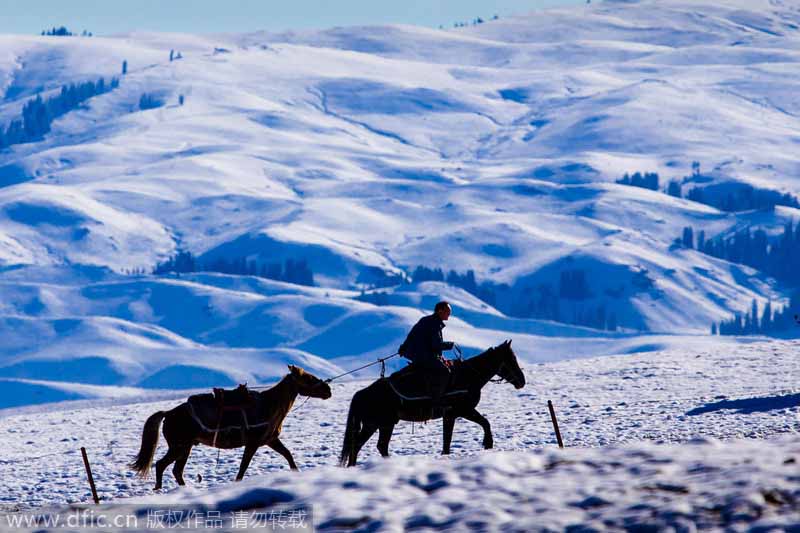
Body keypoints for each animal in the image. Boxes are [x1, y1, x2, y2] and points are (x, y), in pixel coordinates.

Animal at [131, 364, 332, 488]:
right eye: (308, 378)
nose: (328, 390)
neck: (269, 405)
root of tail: (168, 414)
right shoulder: (253, 443)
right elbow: (243, 467)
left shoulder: (271, 440)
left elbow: (288, 455)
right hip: (179, 447)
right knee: (162, 465)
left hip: (185, 448)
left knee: (175, 470)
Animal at [340, 340, 520, 466]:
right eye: (511, 359)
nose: (522, 381)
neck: (467, 376)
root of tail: (362, 393)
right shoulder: (463, 410)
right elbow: (485, 423)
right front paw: (488, 443)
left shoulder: (451, 415)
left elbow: (447, 440)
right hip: (380, 424)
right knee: (368, 446)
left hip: (379, 424)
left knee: (367, 446)